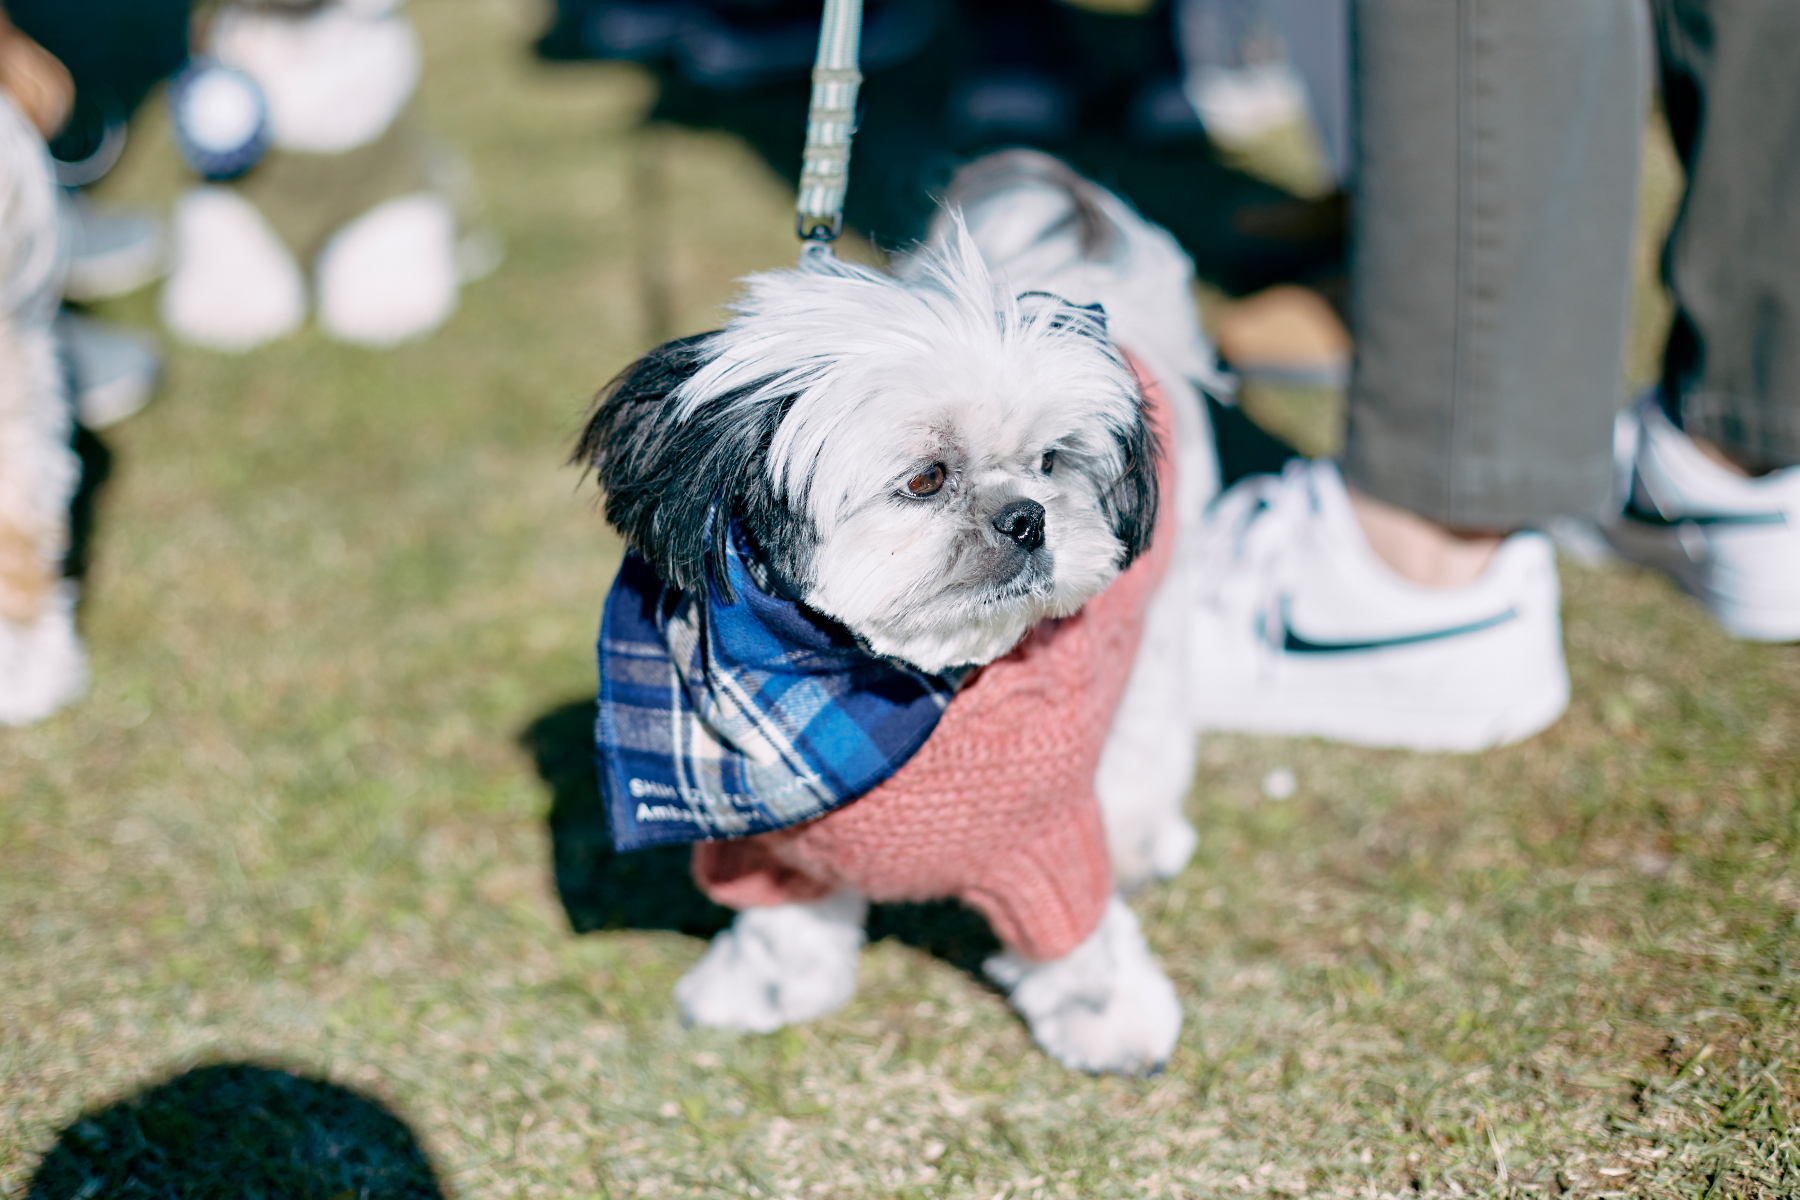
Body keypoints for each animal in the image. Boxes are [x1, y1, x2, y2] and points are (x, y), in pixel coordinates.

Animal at [583, 152, 1216, 1079]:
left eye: (1050, 462)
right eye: (925, 479)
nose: (1029, 517)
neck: (875, 683)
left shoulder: (1048, 842)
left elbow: (1081, 944)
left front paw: (1112, 1021)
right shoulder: (767, 846)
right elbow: (782, 934)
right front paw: (765, 990)